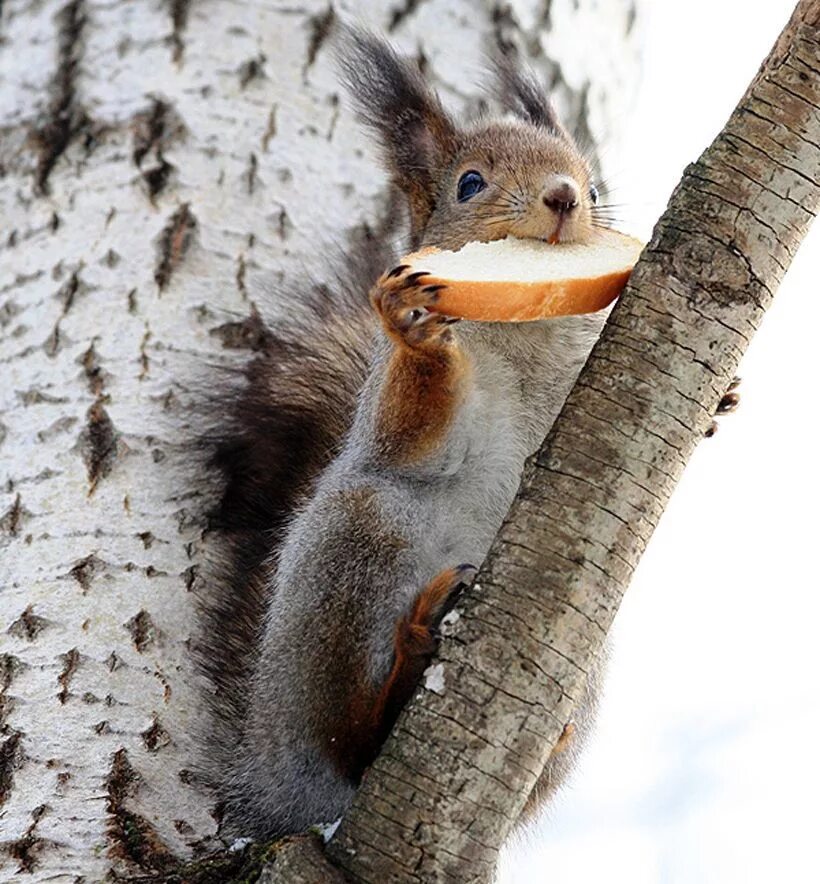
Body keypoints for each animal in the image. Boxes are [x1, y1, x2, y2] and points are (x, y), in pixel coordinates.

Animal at [199, 27, 608, 840]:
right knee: (348, 741)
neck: (531, 328)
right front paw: (419, 336)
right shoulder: (389, 418)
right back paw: (400, 677)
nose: (564, 197)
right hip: (358, 542)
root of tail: (282, 790)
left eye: (592, 181)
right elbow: (408, 433)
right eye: (470, 184)